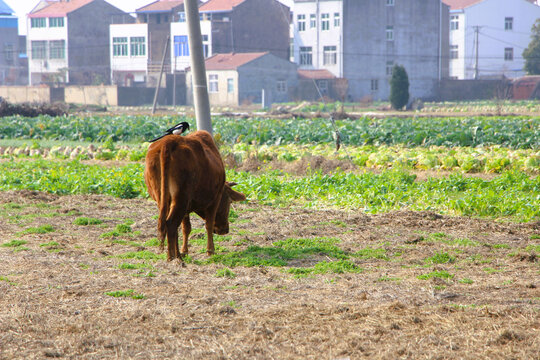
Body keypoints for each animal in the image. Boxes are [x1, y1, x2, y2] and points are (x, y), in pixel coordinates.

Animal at [143, 131, 245, 260]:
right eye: (230, 201)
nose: (225, 229)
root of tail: (169, 142)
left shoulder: (186, 208)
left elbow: (186, 228)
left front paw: (184, 251)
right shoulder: (215, 200)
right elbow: (208, 224)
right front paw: (210, 250)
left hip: (164, 200)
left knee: (170, 225)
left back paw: (176, 256)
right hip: (181, 199)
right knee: (171, 224)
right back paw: (173, 258)